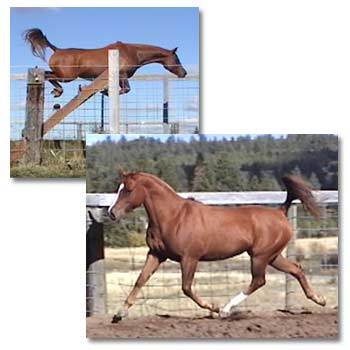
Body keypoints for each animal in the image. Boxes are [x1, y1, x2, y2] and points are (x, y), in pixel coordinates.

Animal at [23, 27, 187, 97]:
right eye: (177, 59)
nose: (184, 73)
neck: (132, 52)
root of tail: (57, 50)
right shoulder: (122, 75)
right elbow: (126, 89)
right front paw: (105, 92)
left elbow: (123, 89)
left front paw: (105, 91)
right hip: (67, 77)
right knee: (48, 76)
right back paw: (57, 91)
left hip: (64, 75)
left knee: (47, 74)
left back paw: (56, 91)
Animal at [107, 170, 326, 322]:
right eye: (119, 189)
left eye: (128, 190)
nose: (112, 213)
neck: (173, 217)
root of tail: (280, 212)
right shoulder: (156, 254)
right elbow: (140, 280)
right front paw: (119, 314)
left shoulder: (190, 257)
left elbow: (186, 288)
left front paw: (213, 308)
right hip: (273, 256)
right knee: (296, 269)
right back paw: (319, 299)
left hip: (260, 256)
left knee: (259, 281)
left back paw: (226, 310)